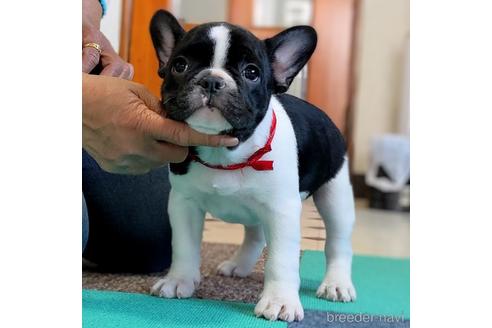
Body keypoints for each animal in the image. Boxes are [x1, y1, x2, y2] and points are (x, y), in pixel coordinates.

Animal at [148, 10, 356, 322]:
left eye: (252, 73)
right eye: (180, 65)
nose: (211, 80)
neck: (226, 152)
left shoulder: (282, 210)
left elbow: (281, 259)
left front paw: (280, 300)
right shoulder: (184, 204)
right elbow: (184, 245)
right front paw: (179, 280)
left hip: (335, 196)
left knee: (338, 242)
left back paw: (336, 283)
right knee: (255, 236)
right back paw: (239, 265)